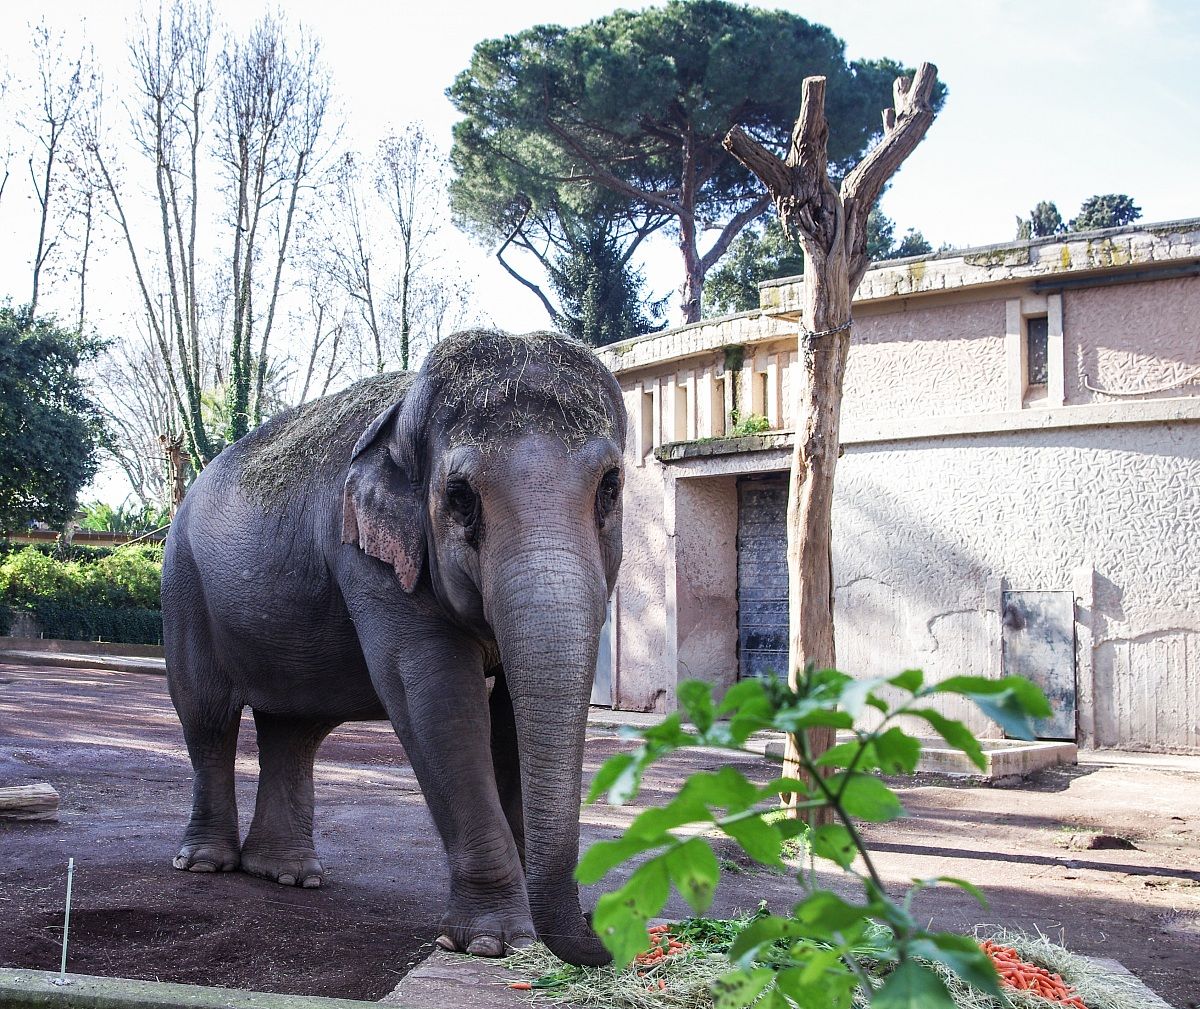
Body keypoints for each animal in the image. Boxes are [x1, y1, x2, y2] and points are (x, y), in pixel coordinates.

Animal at [161, 329, 626, 966]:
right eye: (460, 496)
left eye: (611, 487)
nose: (600, 931)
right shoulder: (366, 554)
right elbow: (435, 696)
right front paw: (492, 943)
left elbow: (510, 712)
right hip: (184, 587)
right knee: (206, 717)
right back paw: (205, 863)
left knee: (291, 728)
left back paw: (287, 874)